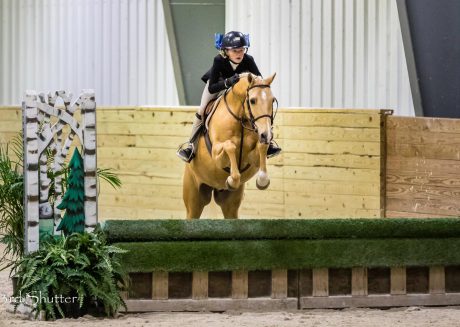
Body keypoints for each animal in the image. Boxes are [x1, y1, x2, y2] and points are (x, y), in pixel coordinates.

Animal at [182, 73, 276, 219]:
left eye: (272, 101)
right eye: (253, 101)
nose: (266, 135)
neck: (241, 117)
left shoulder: (253, 157)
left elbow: (261, 147)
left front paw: (262, 180)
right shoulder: (216, 154)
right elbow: (230, 146)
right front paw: (232, 179)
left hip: (229, 204)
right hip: (194, 200)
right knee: (192, 212)